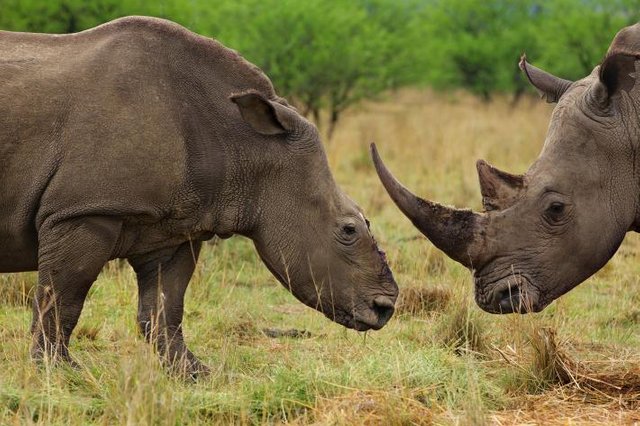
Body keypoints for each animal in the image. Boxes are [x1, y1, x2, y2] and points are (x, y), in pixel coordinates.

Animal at [0, 16, 398, 376]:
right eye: (348, 230)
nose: (385, 307)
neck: (246, 144)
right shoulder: (84, 211)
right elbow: (63, 296)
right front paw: (59, 372)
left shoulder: (174, 226)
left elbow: (164, 305)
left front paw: (195, 374)